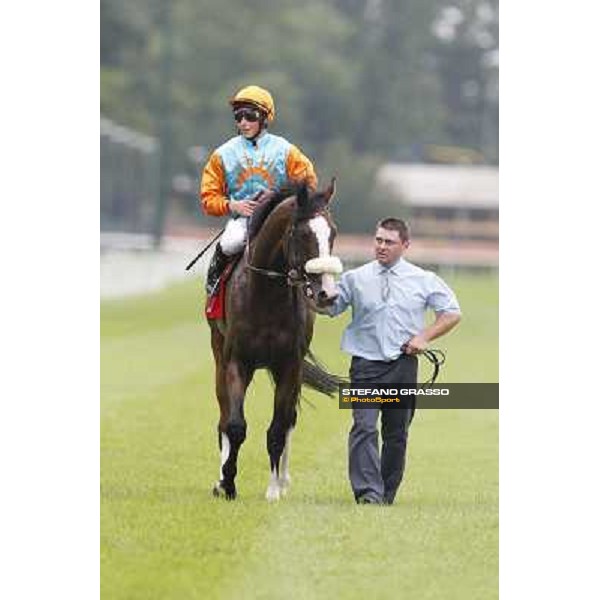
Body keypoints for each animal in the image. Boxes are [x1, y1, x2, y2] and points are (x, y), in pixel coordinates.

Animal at [211, 178, 342, 502]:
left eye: (333, 233)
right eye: (304, 234)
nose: (327, 294)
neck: (266, 295)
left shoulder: (289, 365)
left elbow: (278, 428)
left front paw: (273, 489)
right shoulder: (237, 361)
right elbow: (234, 425)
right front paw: (228, 482)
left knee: (290, 419)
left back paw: (282, 480)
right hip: (218, 354)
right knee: (222, 416)